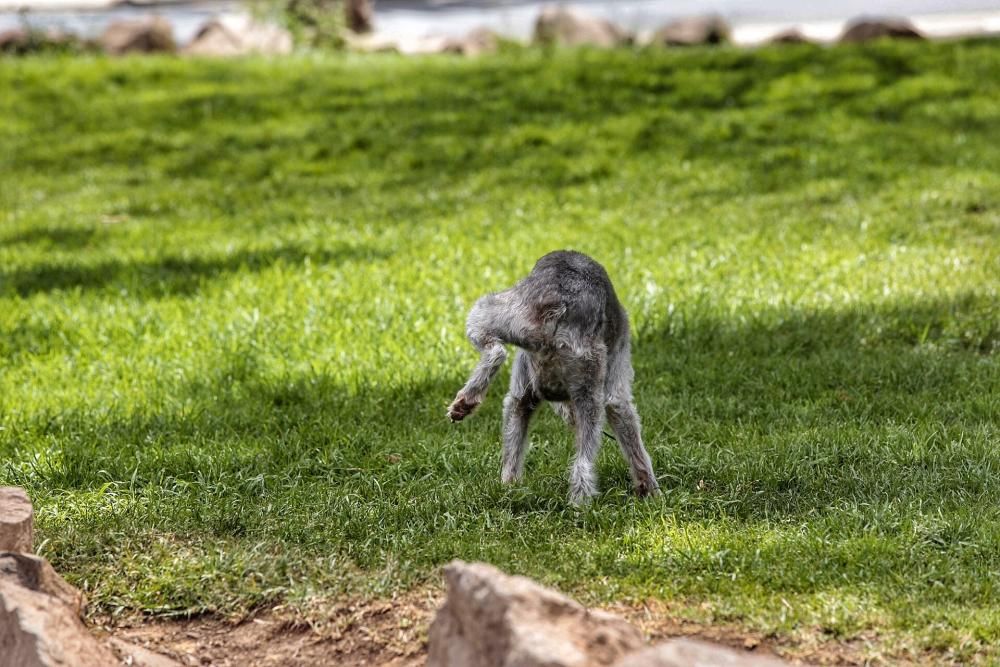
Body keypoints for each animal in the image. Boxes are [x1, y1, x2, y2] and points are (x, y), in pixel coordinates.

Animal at [450, 250, 660, 506]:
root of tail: (558, 306)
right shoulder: (614, 371)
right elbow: (621, 412)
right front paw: (649, 488)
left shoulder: (523, 390)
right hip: (583, 372)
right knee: (584, 456)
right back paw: (580, 501)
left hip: (501, 313)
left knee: (496, 352)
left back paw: (467, 402)